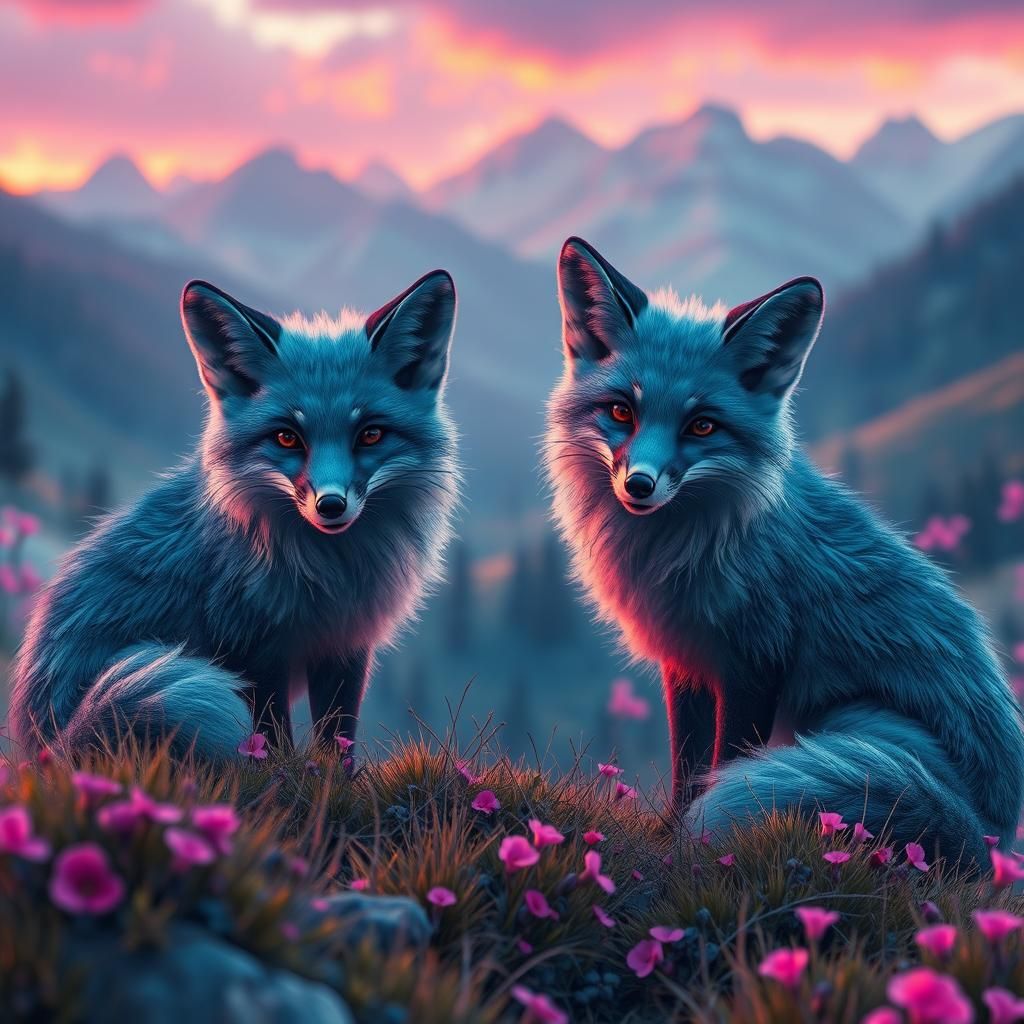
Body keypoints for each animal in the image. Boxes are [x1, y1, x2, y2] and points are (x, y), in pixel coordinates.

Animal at [11, 271, 460, 760]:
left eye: (371, 434)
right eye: (287, 438)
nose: (331, 505)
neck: (328, 578)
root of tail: (46, 748)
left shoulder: (345, 647)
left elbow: (337, 741)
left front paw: (334, 773)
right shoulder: (250, 648)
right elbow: (274, 740)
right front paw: (281, 773)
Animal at [544, 236, 1024, 861]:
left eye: (702, 426)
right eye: (622, 411)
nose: (639, 486)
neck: (686, 555)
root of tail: (993, 835)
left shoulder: (757, 662)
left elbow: (723, 762)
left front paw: (694, 845)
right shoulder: (687, 662)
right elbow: (687, 765)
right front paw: (671, 832)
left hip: (848, 721)